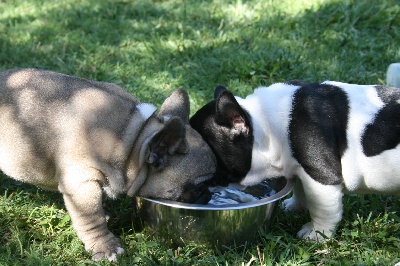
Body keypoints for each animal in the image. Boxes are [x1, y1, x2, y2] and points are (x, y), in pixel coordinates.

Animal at [190, 82, 400, 240]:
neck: (267, 127)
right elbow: (300, 189)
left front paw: (317, 234)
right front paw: (294, 207)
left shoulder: (320, 176)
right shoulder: (298, 168)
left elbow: (321, 208)